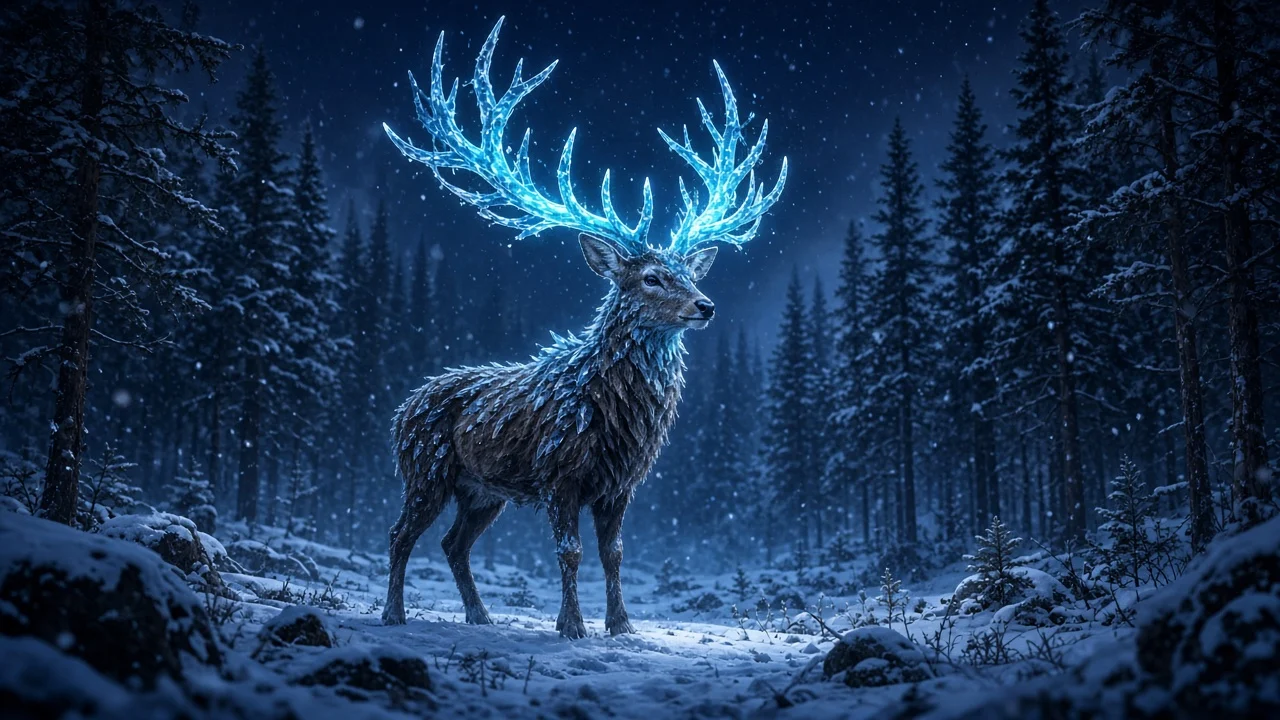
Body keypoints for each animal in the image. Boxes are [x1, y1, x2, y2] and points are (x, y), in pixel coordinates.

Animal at [380, 17, 787, 638]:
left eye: (688, 273)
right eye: (650, 277)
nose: (706, 306)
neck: (615, 412)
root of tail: (401, 409)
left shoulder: (620, 483)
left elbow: (613, 554)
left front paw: (621, 624)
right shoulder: (559, 471)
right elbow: (569, 552)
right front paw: (571, 625)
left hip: (481, 490)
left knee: (453, 544)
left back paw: (480, 616)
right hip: (426, 469)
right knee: (401, 534)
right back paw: (394, 612)